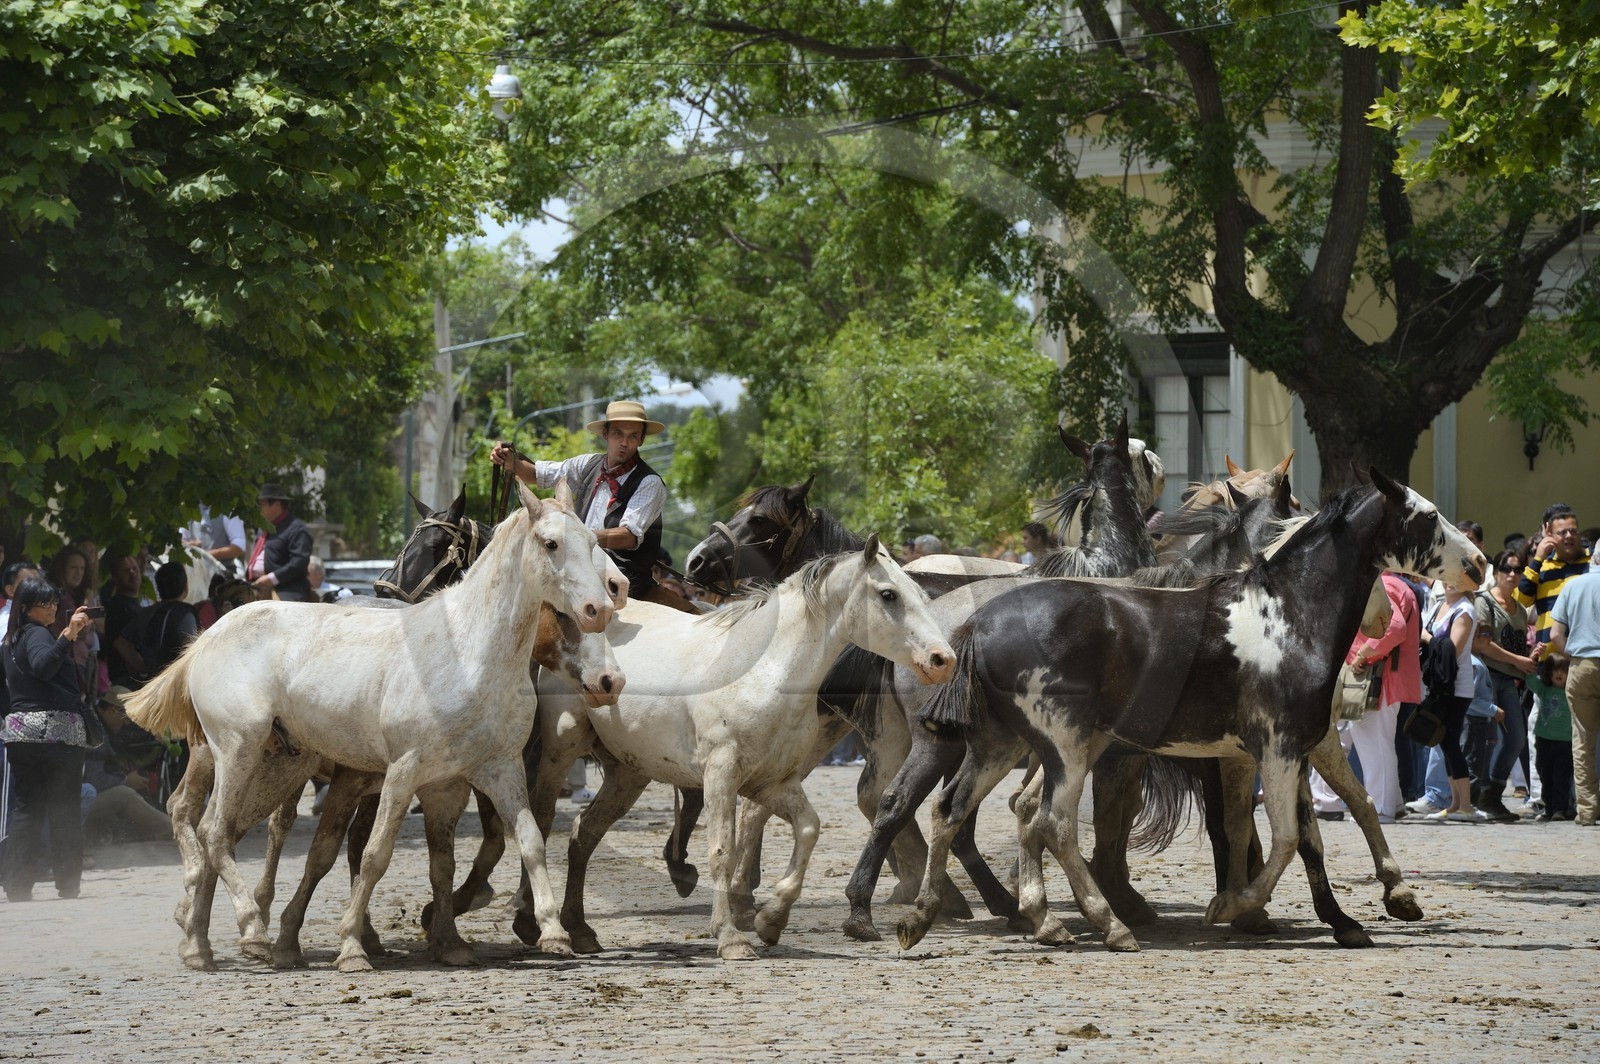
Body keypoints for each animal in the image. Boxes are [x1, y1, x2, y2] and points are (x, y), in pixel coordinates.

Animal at [126, 485, 615, 971]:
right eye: (550, 543)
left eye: (592, 542)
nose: (599, 610)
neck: (468, 653)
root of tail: (209, 635)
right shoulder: (402, 771)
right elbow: (374, 855)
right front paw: (352, 946)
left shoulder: (483, 774)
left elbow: (520, 843)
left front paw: (548, 933)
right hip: (236, 750)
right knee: (213, 829)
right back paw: (252, 930)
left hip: (264, 763)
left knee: (215, 827)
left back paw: (199, 943)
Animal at [527, 536, 955, 961]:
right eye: (888, 594)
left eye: (919, 593)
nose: (943, 659)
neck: (761, 672)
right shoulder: (720, 776)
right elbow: (722, 852)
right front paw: (730, 936)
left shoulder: (774, 783)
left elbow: (807, 829)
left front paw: (771, 919)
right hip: (559, 751)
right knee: (542, 821)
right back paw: (536, 926)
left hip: (628, 772)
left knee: (584, 833)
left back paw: (580, 930)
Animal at [897, 472, 1484, 953]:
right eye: (1426, 515)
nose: (1479, 564)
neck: (1286, 616)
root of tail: (978, 622)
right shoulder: (1277, 749)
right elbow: (1286, 837)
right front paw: (1233, 905)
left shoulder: (1292, 750)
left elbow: (1309, 832)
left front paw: (1350, 917)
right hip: (1064, 748)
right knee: (1053, 823)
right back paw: (1108, 925)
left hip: (1001, 745)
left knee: (952, 811)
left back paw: (933, 919)